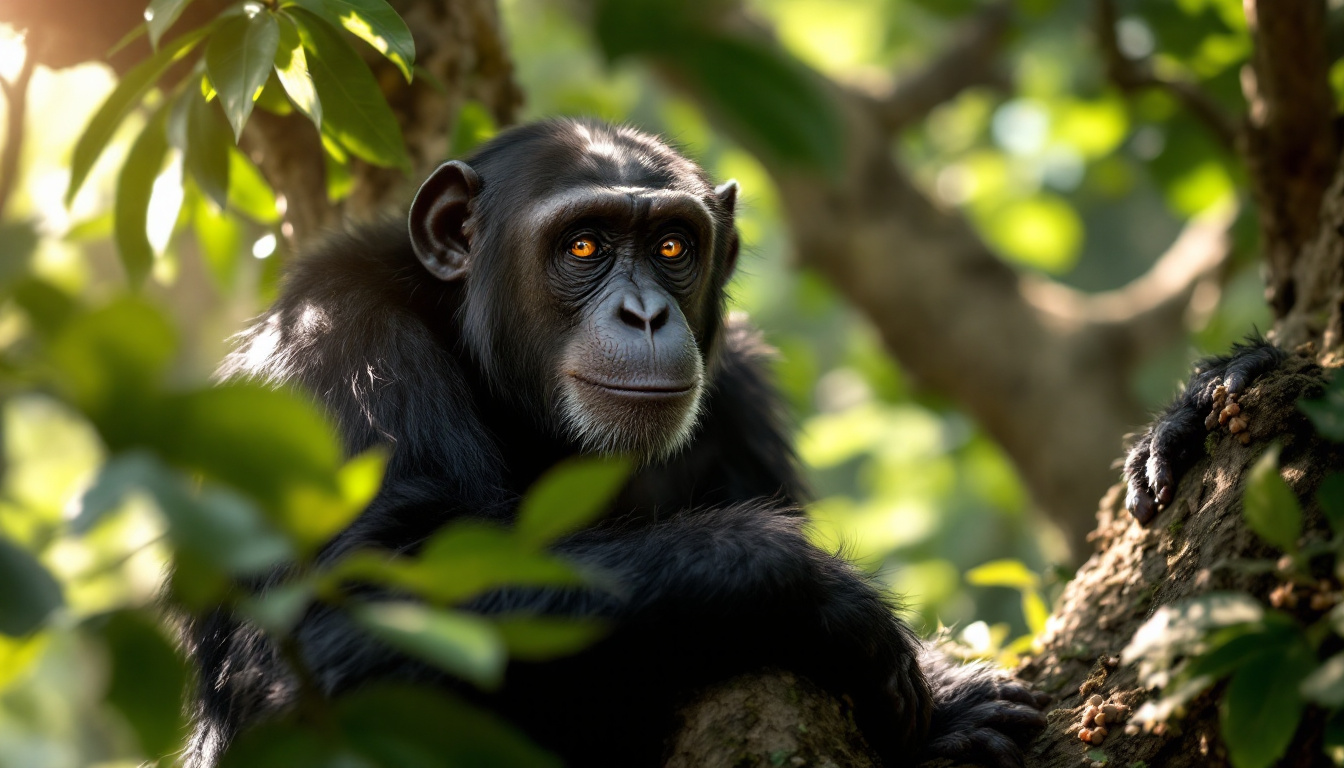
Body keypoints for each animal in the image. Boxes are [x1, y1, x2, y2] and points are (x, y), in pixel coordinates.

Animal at [186, 119, 1048, 768]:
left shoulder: (739, 395)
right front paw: (823, 590)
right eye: (584, 247)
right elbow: (351, 623)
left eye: (671, 247)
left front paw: (950, 706)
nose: (645, 314)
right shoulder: (343, 354)